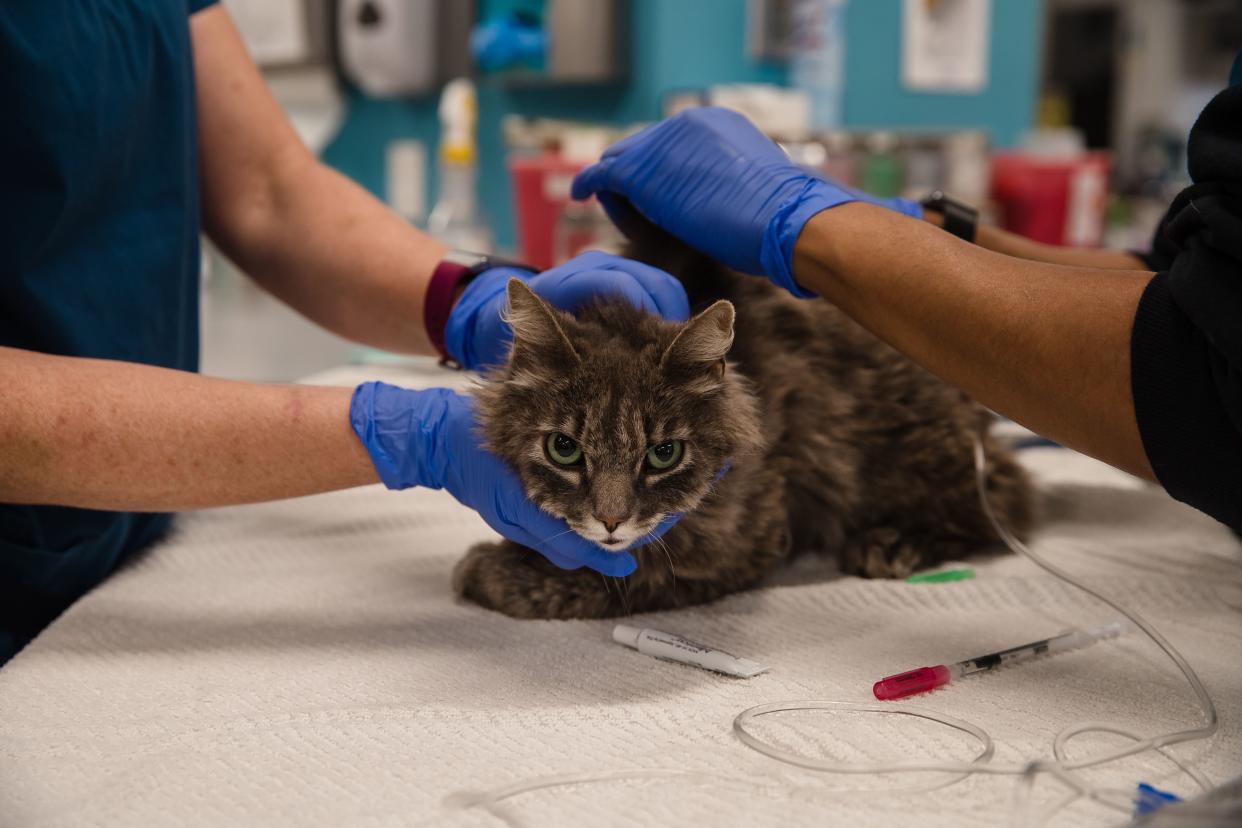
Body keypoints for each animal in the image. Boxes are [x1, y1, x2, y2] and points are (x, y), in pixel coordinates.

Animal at [452, 223, 1033, 618]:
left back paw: (889, 543)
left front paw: (487, 570)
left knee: (1003, 502)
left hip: (911, 451)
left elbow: (625, 578)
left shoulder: (744, 543)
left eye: (664, 454)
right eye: (564, 449)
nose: (611, 520)